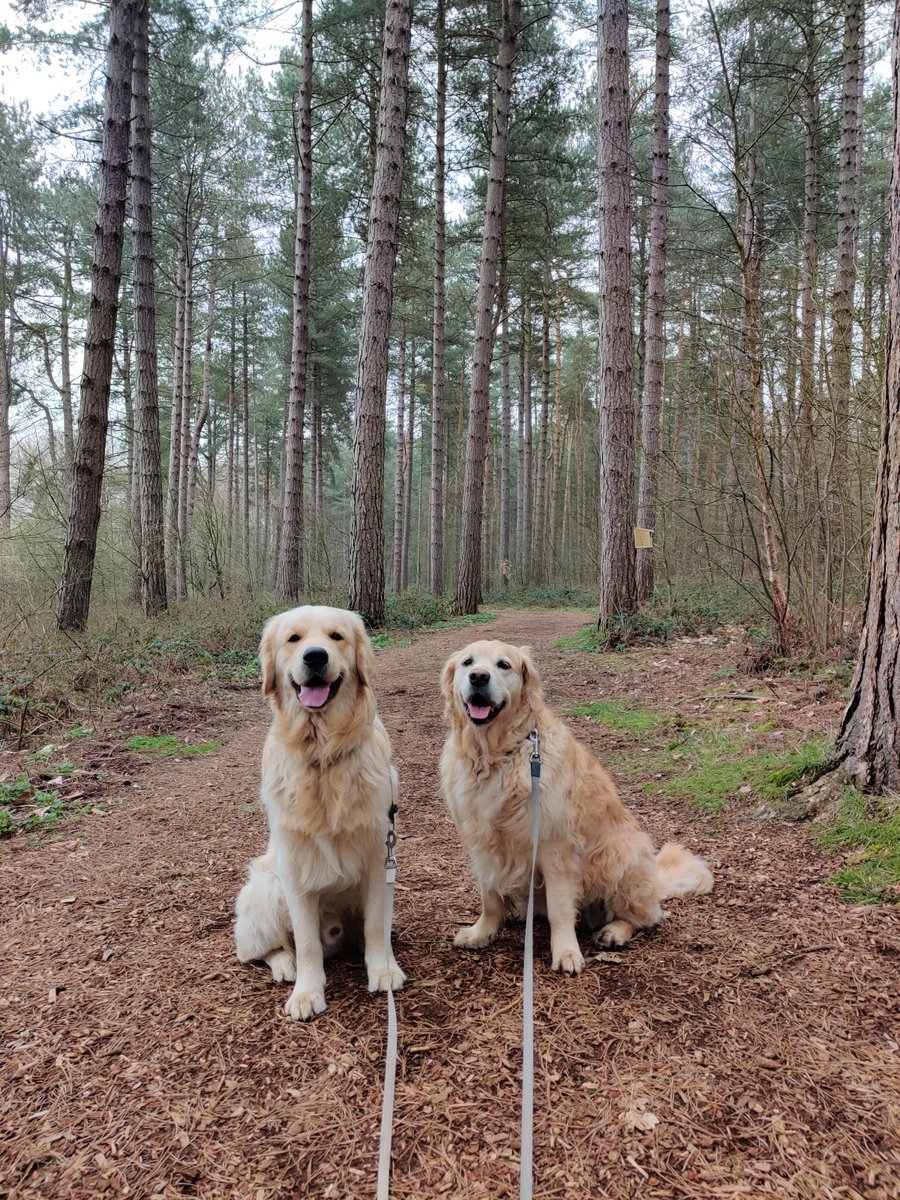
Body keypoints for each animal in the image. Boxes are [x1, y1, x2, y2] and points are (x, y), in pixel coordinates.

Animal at [236, 604, 405, 1017]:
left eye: (336, 637)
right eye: (293, 639)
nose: (315, 657)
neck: (323, 752)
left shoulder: (379, 857)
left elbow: (377, 926)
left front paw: (384, 970)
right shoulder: (294, 869)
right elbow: (306, 940)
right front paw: (307, 993)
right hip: (266, 889)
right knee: (263, 950)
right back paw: (287, 966)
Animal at [441, 638, 715, 974]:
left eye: (503, 665)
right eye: (468, 662)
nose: (479, 677)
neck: (496, 756)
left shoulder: (555, 845)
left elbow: (560, 908)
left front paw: (566, 952)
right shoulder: (482, 842)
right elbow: (489, 896)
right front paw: (482, 932)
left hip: (620, 855)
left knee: (647, 917)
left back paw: (614, 932)